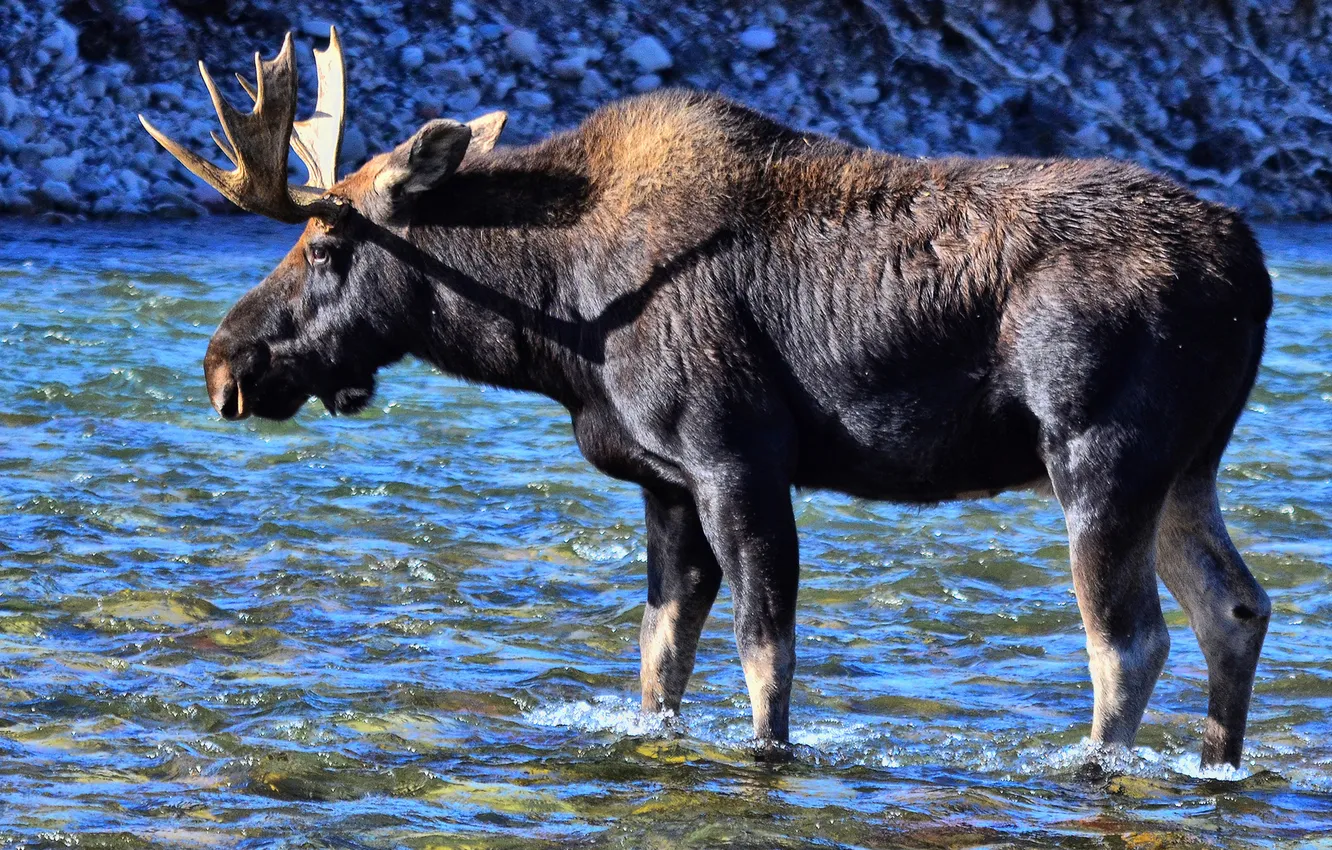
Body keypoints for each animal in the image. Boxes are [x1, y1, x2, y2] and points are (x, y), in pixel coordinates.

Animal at [140, 28, 1273, 767]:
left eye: (325, 244)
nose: (224, 365)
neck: (554, 316)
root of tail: (1254, 270)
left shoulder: (736, 457)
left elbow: (764, 658)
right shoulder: (665, 482)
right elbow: (660, 662)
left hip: (1097, 452)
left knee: (1128, 640)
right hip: (1187, 465)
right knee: (1234, 606)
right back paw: (1214, 766)